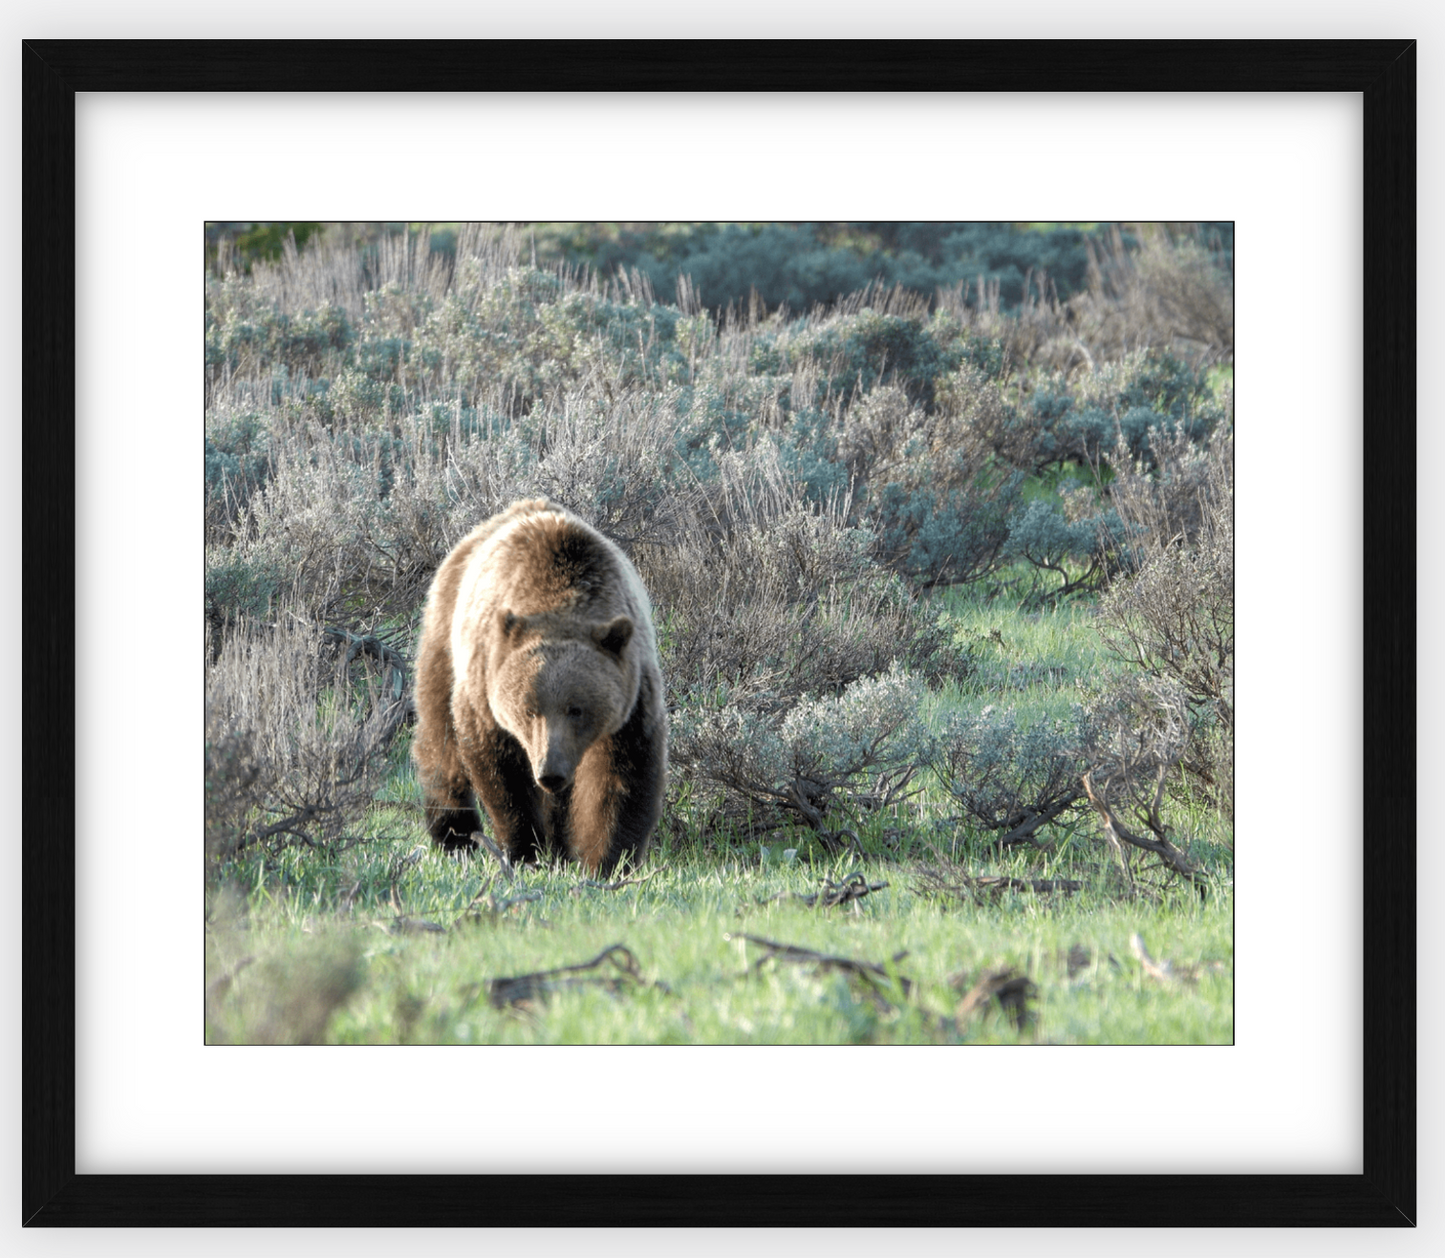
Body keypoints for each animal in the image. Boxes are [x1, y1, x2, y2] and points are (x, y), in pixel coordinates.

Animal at [416, 502, 667, 878]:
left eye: (577, 709)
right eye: (528, 709)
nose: (550, 771)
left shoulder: (632, 695)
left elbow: (622, 776)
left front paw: (608, 862)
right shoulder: (488, 686)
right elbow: (504, 775)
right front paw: (523, 851)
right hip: (445, 636)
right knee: (439, 733)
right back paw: (454, 833)